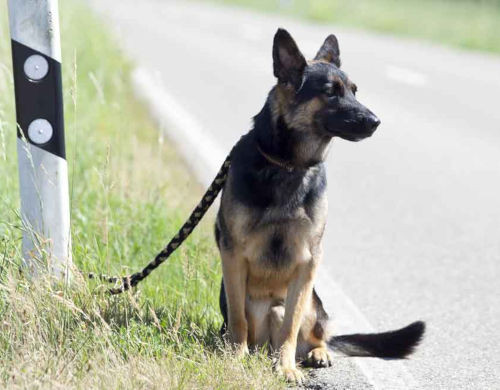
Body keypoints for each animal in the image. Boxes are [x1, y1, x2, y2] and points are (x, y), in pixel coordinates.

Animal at [215, 28, 422, 384]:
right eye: (330, 93)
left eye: (354, 91)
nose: (376, 121)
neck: (288, 166)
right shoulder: (233, 254)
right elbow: (239, 318)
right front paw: (234, 357)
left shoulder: (308, 261)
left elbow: (290, 326)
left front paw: (285, 367)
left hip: (313, 304)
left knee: (314, 333)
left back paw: (317, 353)